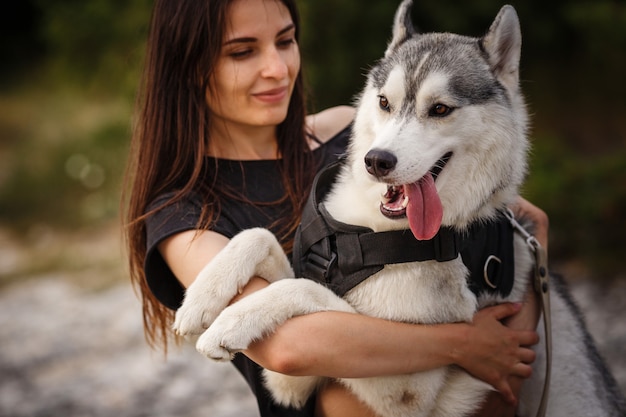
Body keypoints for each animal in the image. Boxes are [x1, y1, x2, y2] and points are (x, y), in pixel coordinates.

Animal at [173, 1, 624, 414]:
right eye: (384, 103)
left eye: (440, 109)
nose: (377, 161)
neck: (379, 237)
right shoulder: (292, 382)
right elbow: (260, 238)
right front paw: (201, 300)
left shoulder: (408, 387)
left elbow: (304, 288)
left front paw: (230, 322)